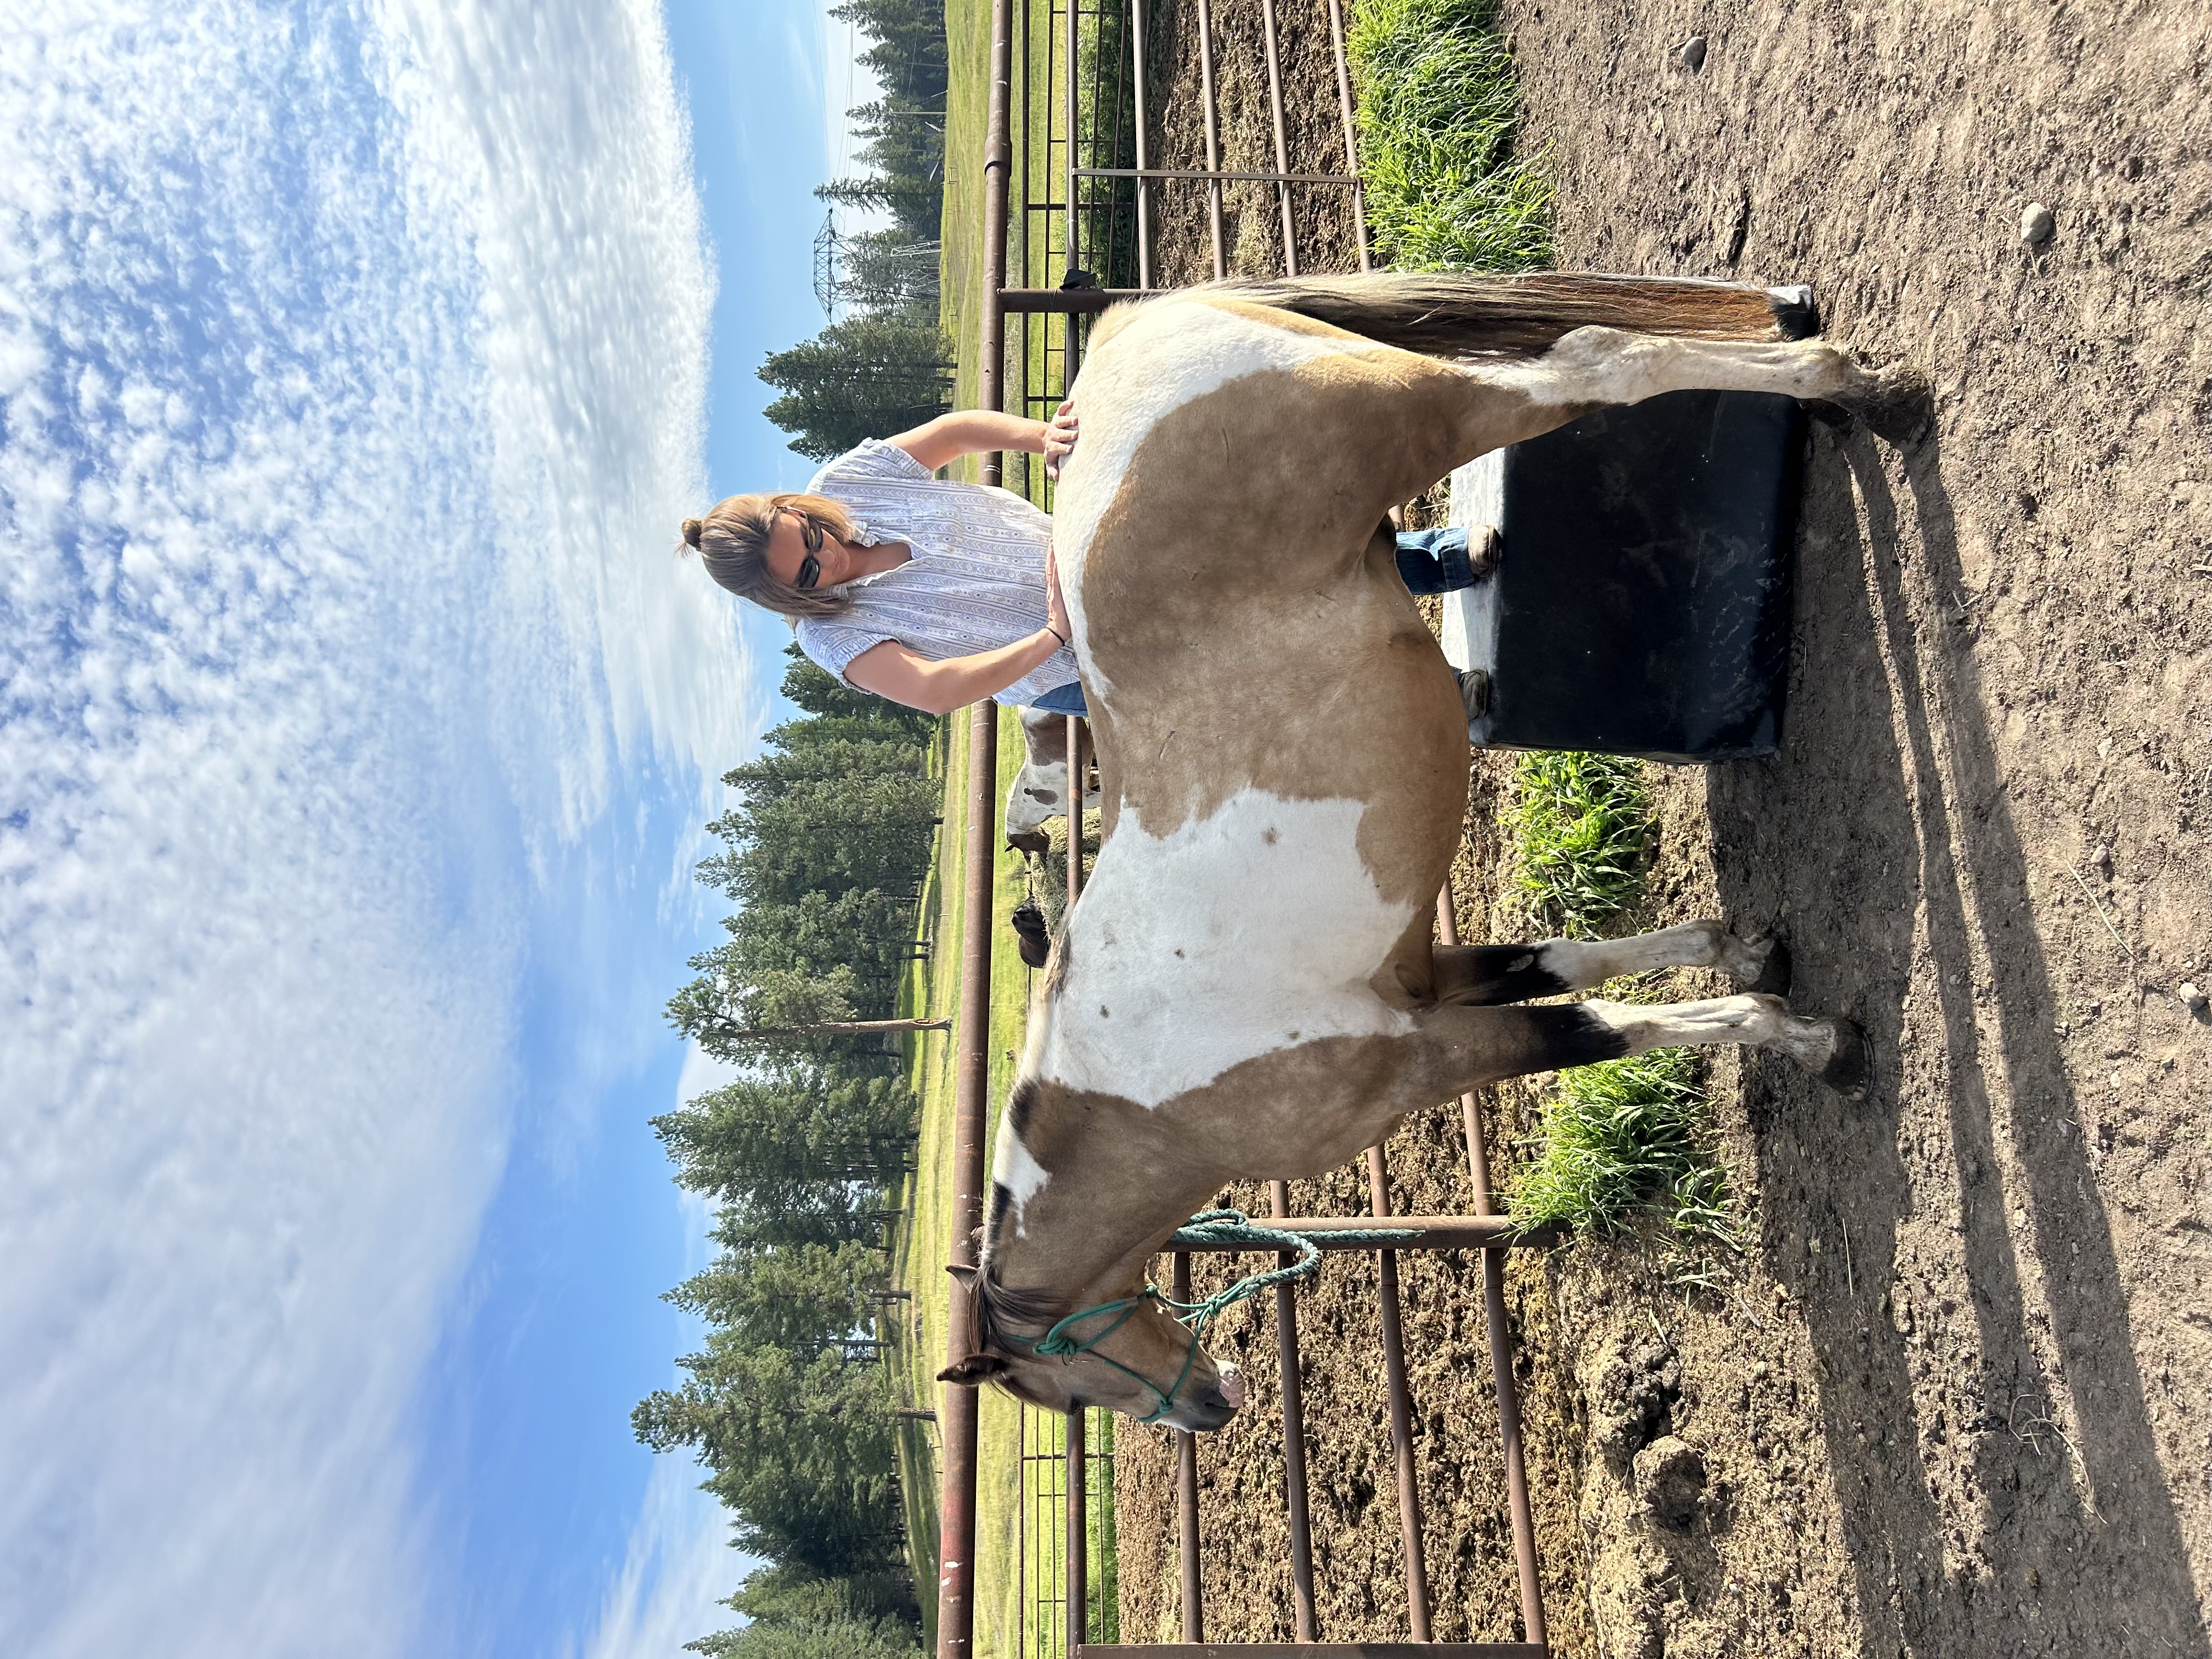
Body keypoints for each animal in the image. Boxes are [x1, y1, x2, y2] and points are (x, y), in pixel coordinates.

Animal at [939, 272, 1925, 1430]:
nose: (1212, 1408)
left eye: (1068, 1380)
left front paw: (1808, 1037)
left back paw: (1855, 389)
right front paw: (1737, 947)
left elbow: (1598, 1026)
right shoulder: (1425, 976)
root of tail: (1129, 335)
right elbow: (1564, 959)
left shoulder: (1425, 1058)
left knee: (1595, 359)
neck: (1145, 1088)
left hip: (1436, 413)